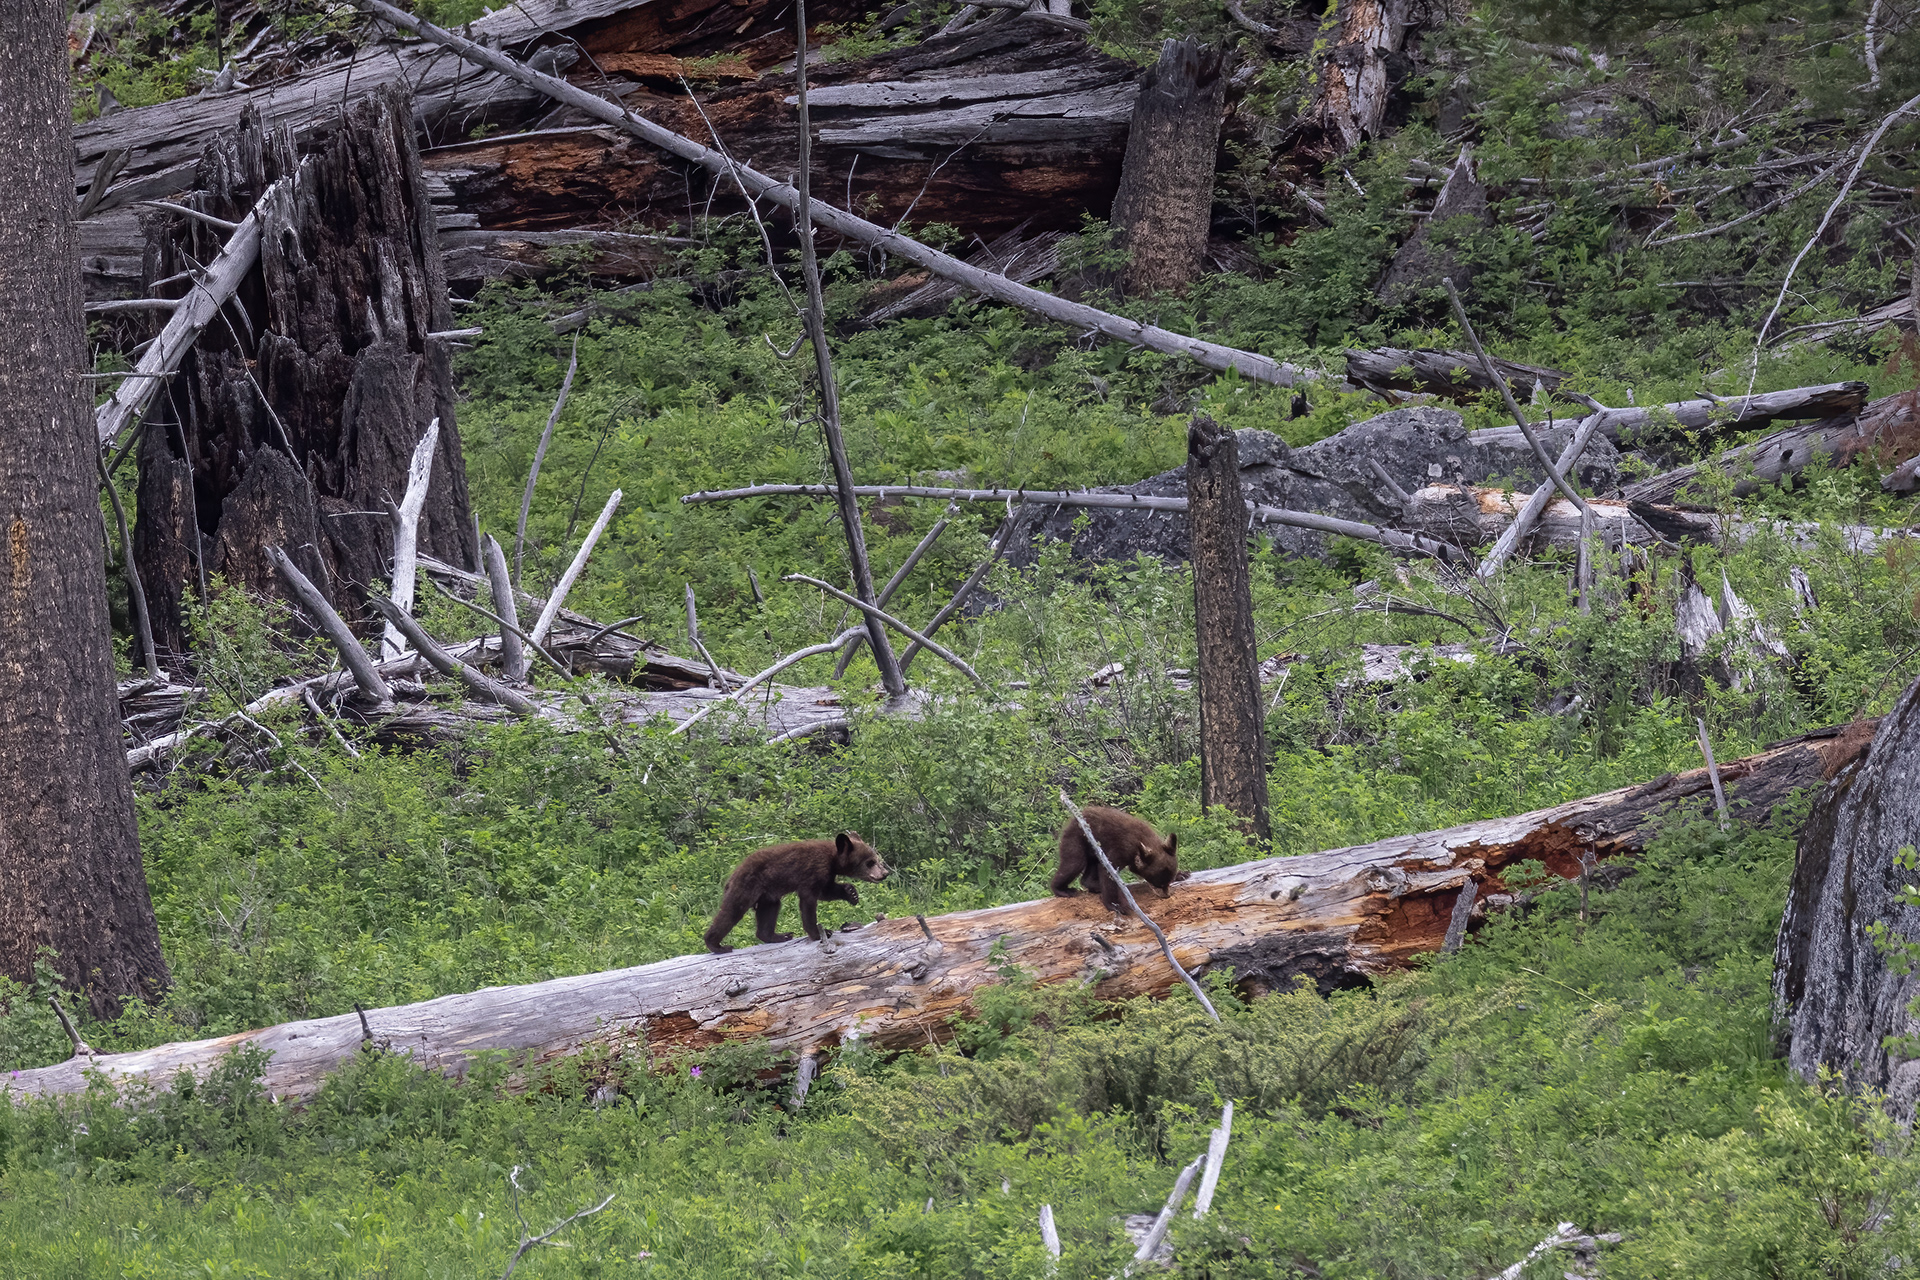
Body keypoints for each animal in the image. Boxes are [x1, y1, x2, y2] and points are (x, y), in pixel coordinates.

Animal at [704, 831, 891, 954]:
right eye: (870, 862)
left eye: (875, 858)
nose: (884, 873)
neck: (831, 858)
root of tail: (732, 876)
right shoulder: (813, 870)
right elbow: (809, 899)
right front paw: (820, 933)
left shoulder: (826, 874)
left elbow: (826, 891)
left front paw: (851, 893)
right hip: (746, 887)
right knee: (731, 912)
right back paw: (716, 945)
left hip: (768, 895)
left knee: (769, 910)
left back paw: (778, 936)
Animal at [1051, 806, 1184, 914]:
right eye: (1158, 883)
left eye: (1169, 881)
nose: (1166, 895)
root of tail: (1072, 820)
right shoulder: (1120, 849)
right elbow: (1108, 872)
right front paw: (1116, 905)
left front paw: (1181, 874)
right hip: (1077, 840)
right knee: (1073, 864)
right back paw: (1063, 890)